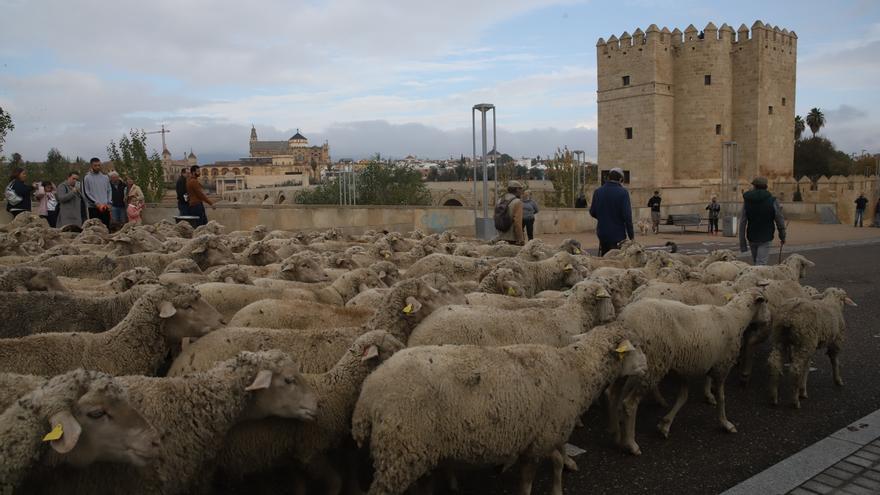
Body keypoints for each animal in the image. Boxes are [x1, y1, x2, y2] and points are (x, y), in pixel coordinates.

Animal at [608, 290, 768, 458]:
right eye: (766, 302)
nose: (767, 320)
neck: (736, 317)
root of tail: (626, 320)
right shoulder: (722, 367)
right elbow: (722, 397)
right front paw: (725, 423)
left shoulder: (688, 368)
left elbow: (683, 397)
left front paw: (665, 425)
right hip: (653, 364)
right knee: (629, 403)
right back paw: (631, 444)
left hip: (627, 366)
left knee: (613, 394)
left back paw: (615, 434)